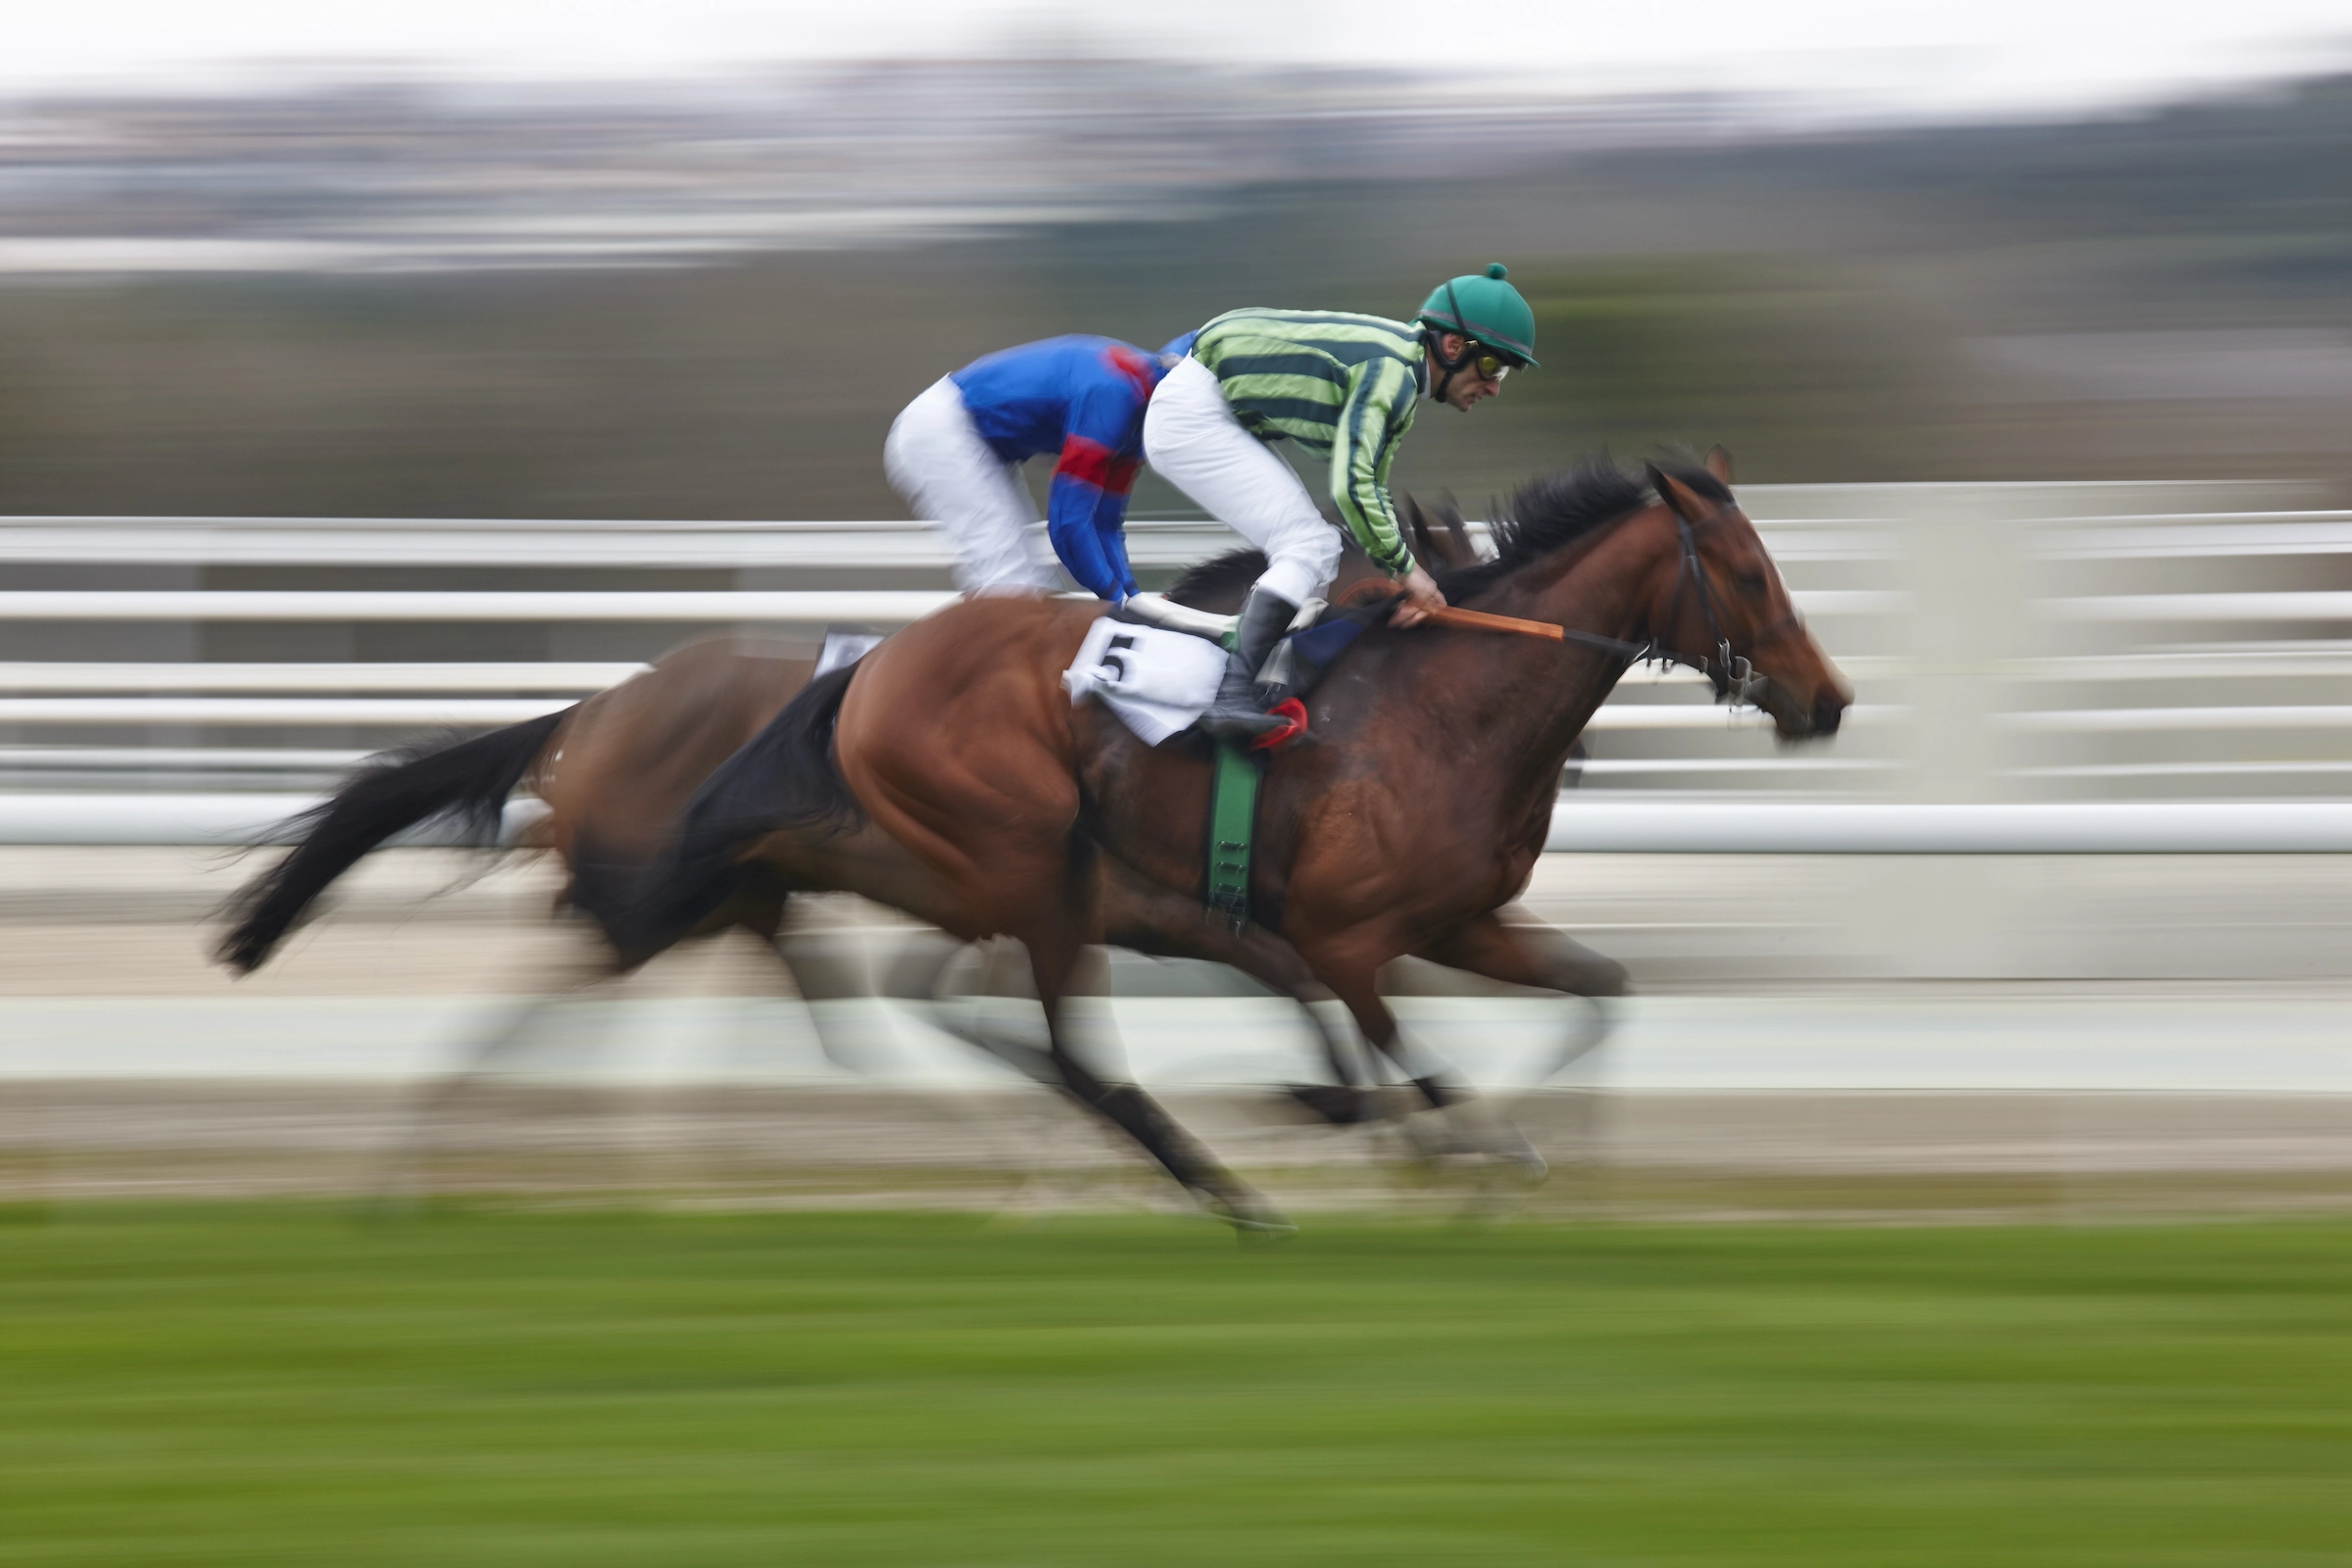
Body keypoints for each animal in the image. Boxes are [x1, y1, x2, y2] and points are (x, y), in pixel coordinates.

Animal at [602, 453, 1850, 1221]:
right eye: (1749, 574)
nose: (1826, 699)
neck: (1449, 705)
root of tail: (869, 669)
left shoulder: (1457, 923)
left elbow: (1600, 992)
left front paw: (1538, 1161)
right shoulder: (1342, 938)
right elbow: (1412, 1063)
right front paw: (1457, 1157)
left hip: (1023, 891)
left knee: (984, 1016)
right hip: (1035, 874)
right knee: (1064, 1046)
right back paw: (1229, 1194)